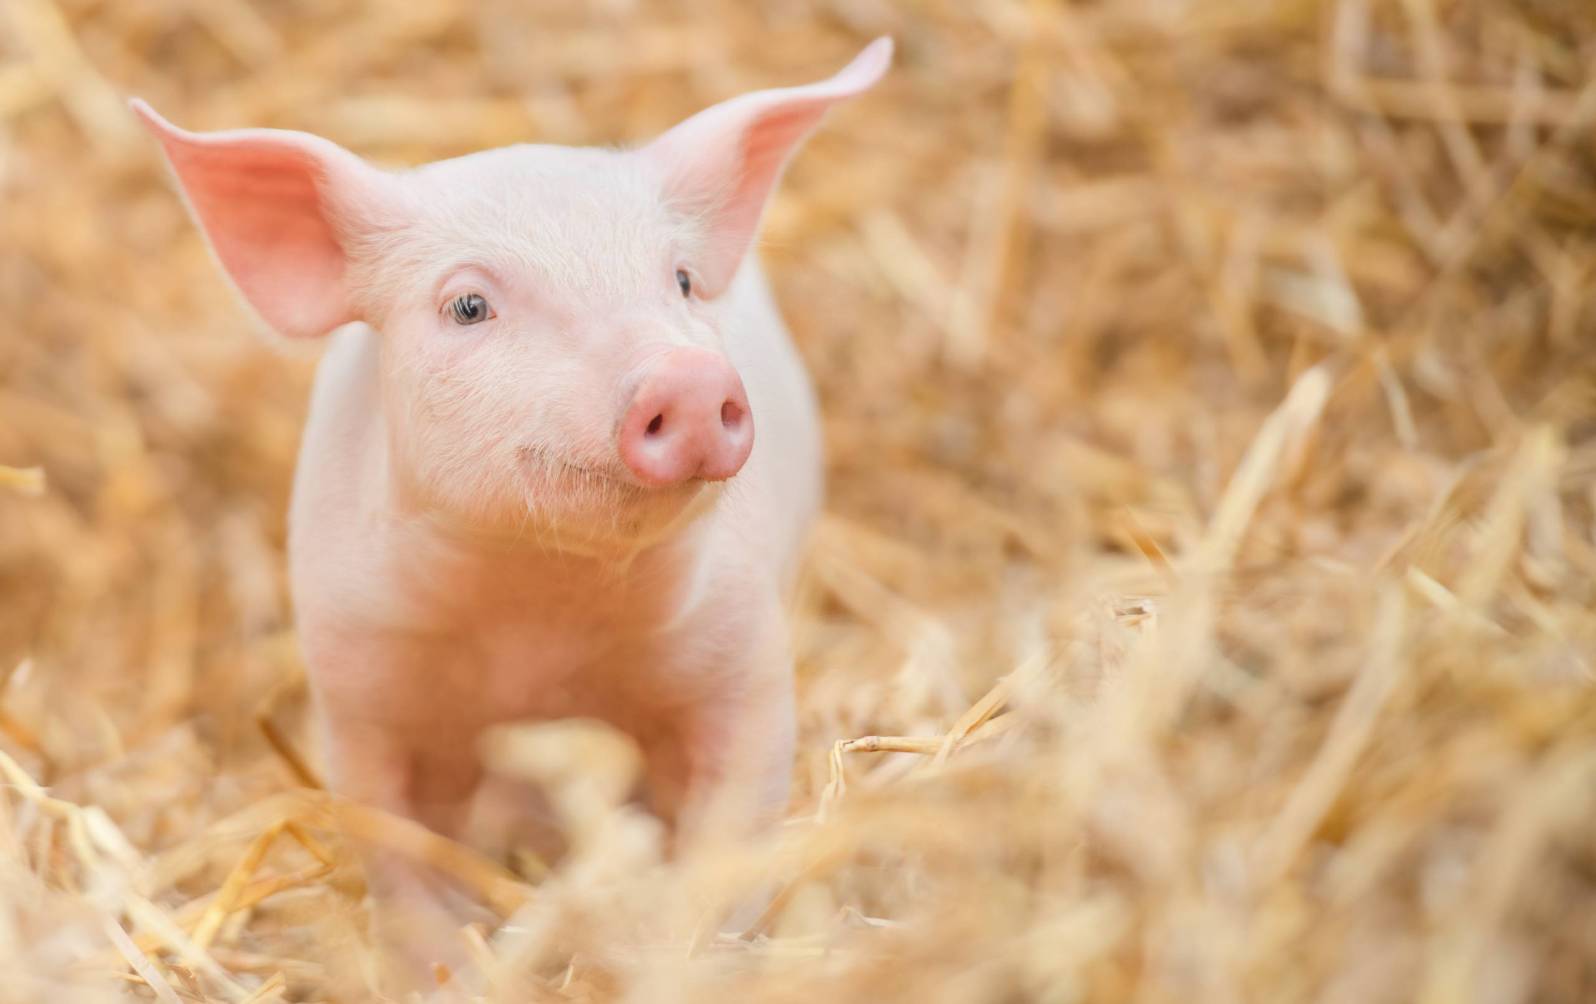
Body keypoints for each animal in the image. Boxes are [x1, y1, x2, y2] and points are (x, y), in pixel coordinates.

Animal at [132, 36, 892, 983]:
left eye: (680, 281)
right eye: (468, 304)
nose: (684, 376)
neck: (535, 616)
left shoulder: (742, 655)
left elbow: (733, 829)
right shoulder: (356, 685)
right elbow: (396, 849)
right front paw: (448, 970)